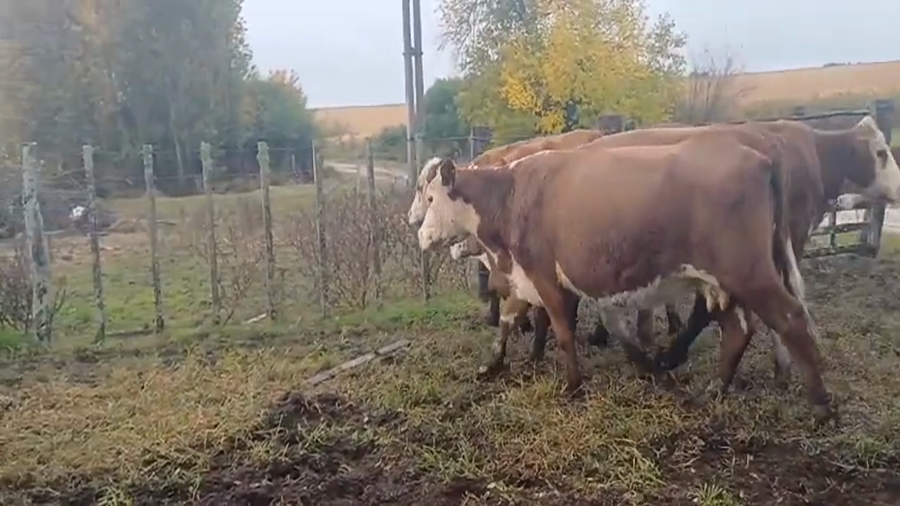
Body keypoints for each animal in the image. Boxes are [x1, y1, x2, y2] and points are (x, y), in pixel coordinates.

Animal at [415, 126, 837, 423]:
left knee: (789, 319)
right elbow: (513, 318)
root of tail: (762, 156)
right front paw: (493, 364)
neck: (513, 194)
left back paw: (821, 406)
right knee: (737, 331)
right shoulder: (537, 279)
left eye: (430, 196)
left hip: (748, 272)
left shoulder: (546, 278)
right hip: (721, 281)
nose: (418, 232)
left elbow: (564, 332)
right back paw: (714, 389)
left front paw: (573, 385)